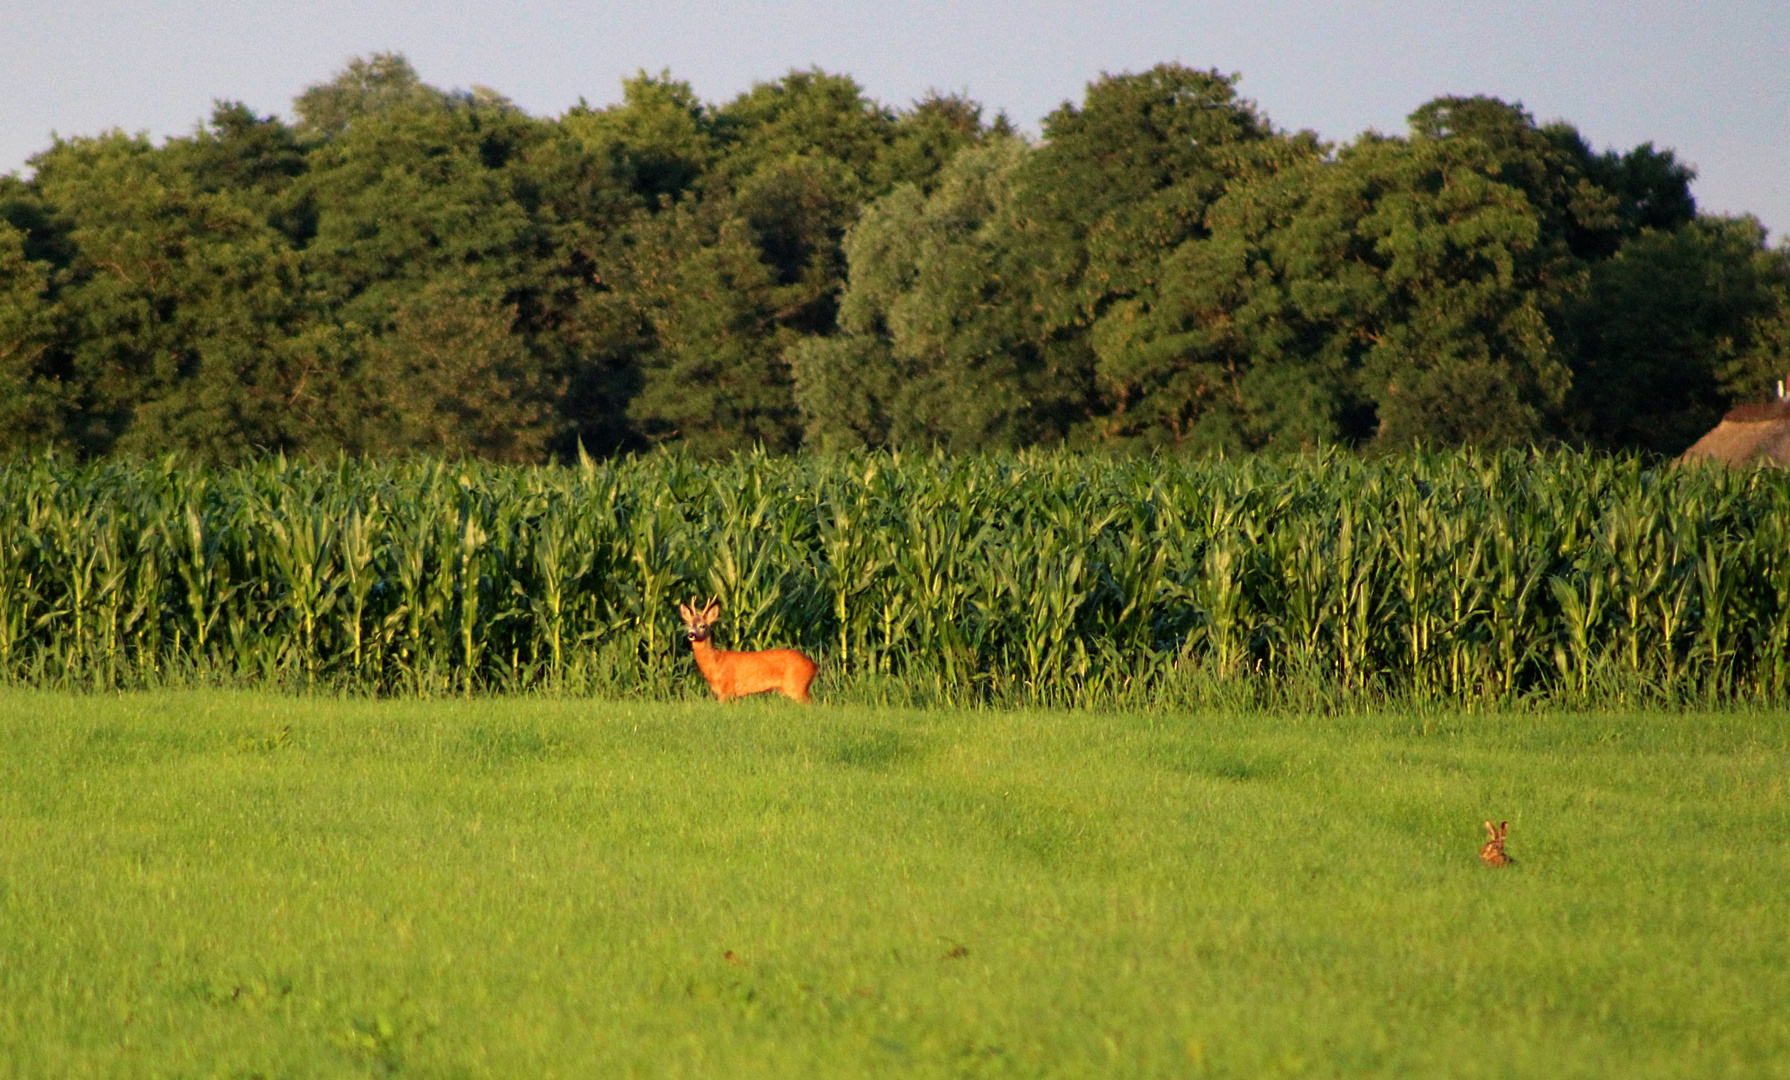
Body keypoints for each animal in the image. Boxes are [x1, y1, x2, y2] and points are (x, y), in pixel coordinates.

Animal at [676, 594, 819, 705]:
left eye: (703, 625)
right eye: (689, 625)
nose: (691, 634)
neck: (714, 662)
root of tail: (814, 666)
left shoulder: (726, 689)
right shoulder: (734, 695)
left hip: (797, 686)